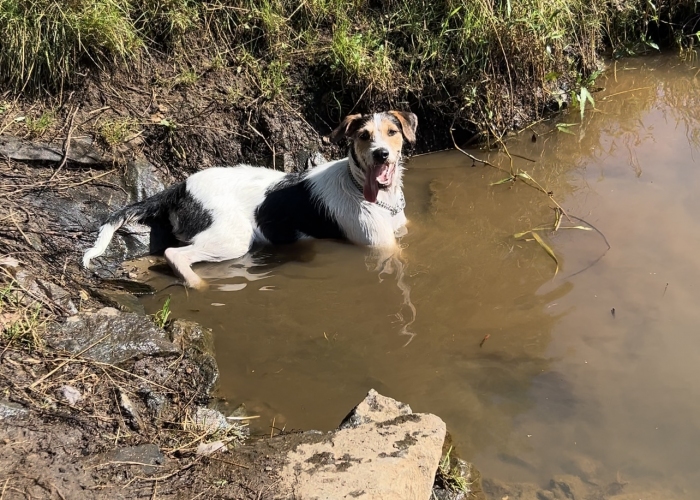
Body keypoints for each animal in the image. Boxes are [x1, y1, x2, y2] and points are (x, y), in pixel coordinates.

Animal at [85, 111, 418, 288]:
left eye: (392, 132)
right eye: (363, 136)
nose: (381, 154)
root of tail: (180, 187)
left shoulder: (401, 231)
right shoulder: (381, 248)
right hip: (233, 239)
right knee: (174, 254)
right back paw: (199, 285)